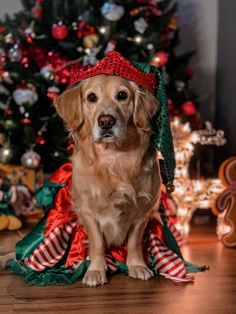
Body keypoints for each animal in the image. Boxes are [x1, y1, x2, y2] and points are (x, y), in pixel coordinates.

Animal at [55, 74, 161, 288]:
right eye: (91, 97)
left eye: (122, 95)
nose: (106, 121)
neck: (114, 156)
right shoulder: (88, 211)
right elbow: (97, 244)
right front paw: (96, 270)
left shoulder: (142, 212)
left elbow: (134, 242)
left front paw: (137, 266)